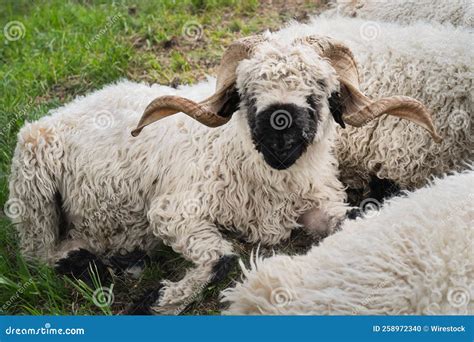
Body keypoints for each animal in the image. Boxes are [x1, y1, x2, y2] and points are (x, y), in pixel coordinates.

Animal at [7, 34, 438, 312]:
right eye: (246, 89)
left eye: (319, 87)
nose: (279, 127)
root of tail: (62, 109)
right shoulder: (173, 211)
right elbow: (223, 259)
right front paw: (157, 302)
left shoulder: (317, 203)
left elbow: (354, 217)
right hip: (32, 194)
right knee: (37, 256)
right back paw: (98, 263)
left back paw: (125, 258)